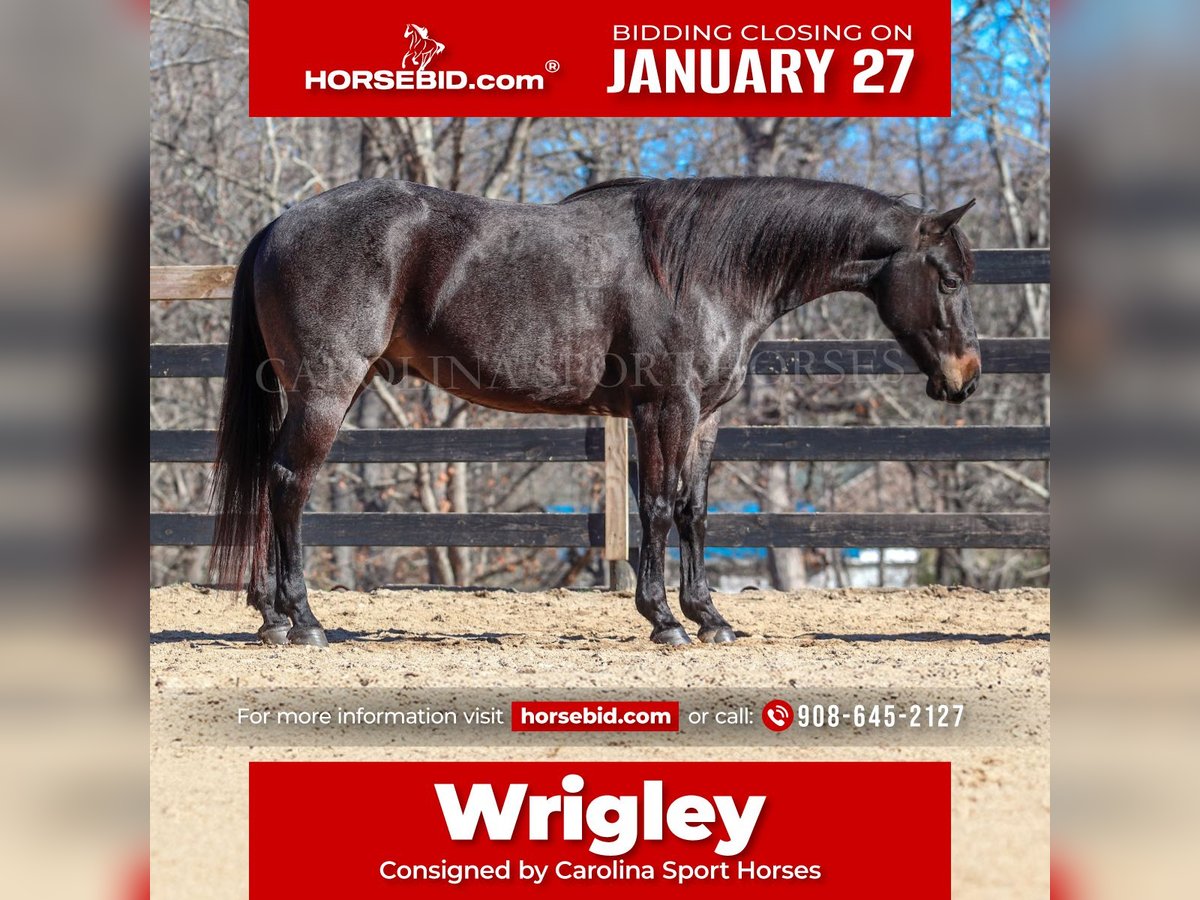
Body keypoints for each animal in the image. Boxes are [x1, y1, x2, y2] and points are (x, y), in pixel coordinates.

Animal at [211, 176, 979, 648]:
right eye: (947, 279)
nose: (966, 378)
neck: (707, 267)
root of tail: (280, 224)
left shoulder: (705, 417)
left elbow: (696, 511)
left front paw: (710, 616)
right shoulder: (664, 409)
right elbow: (659, 508)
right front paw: (664, 618)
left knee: (270, 483)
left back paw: (271, 616)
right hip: (325, 390)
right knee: (289, 485)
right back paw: (304, 618)